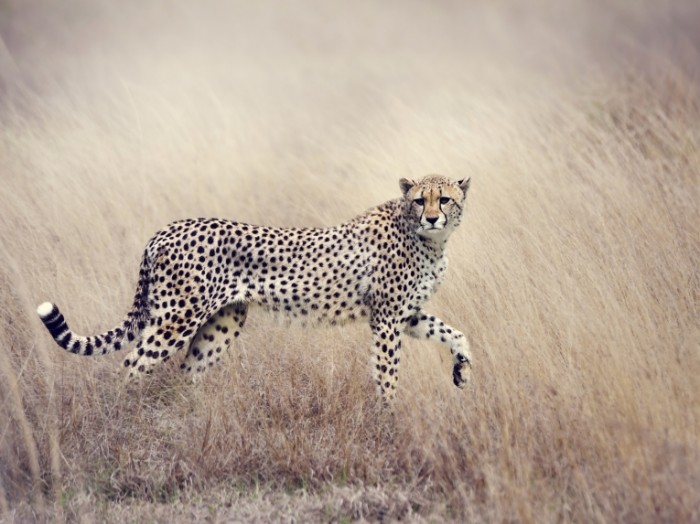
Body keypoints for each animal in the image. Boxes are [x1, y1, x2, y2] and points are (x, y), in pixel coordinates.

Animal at [39, 174, 476, 400]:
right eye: (420, 200)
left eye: (445, 199)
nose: (433, 217)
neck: (429, 240)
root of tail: (166, 229)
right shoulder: (386, 320)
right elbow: (388, 374)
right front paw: (386, 419)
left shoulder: (406, 315)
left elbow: (454, 332)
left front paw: (462, 368)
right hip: (176, 318)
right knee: (131, 365)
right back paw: (126, 420)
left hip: (223, 322)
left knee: (187, 371)